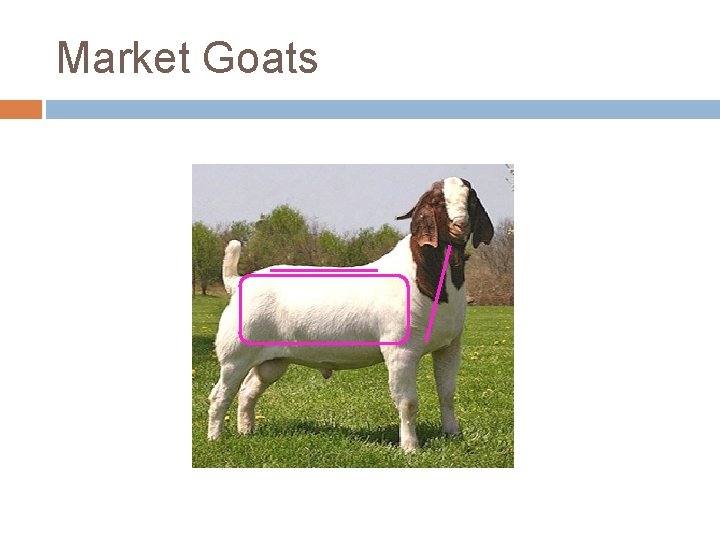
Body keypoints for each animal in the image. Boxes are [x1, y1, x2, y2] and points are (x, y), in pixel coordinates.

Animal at [208, 177, 494, 452]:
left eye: (471, 198)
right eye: (437, 201)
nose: (460, 225)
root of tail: (237, 281)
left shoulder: (449, 346)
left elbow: (447, 393)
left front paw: (453, 434)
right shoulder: (401, 351)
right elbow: (408, 402)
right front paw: (411, 448)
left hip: (273, 360)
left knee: (248, 390)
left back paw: (246, 431)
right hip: (235, 354)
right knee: (220, 393)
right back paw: (215, 438)